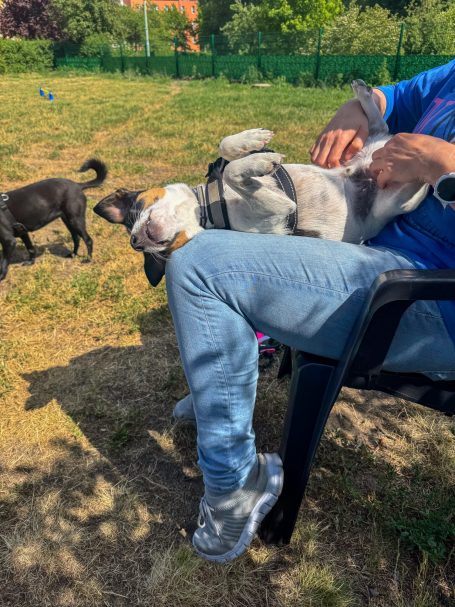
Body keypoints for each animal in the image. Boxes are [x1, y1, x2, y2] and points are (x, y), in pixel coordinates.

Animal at [93, 81, 428, 286]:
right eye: (160, 253)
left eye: (136, 209)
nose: (137, 240)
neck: (209, 203)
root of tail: (367, 170)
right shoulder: (281, 208)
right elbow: (234, 171)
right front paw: (259, 163)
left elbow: (227, 151)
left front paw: (250, 140)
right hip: (391, 201)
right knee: (408, 177)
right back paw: (425, 167)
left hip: (369, 153)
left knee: (380, 127)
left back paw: (365, 95)